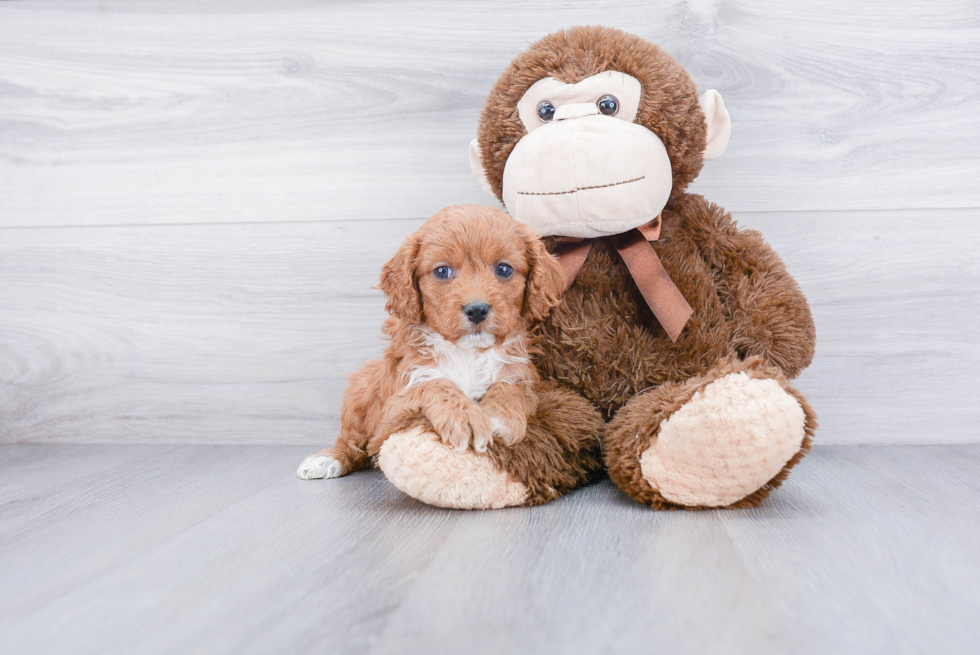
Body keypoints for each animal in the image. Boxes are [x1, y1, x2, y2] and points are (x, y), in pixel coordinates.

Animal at [294, 202, 564, 480]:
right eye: (442, 271)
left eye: (504, 269)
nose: (477, 310)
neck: (468, 352)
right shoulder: (395, 404)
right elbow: (432, 384)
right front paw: (464, 417)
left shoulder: (522, 375)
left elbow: (510, 387)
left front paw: (499, 415)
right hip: (361, 386)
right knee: (351, 442)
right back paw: (327, 459)